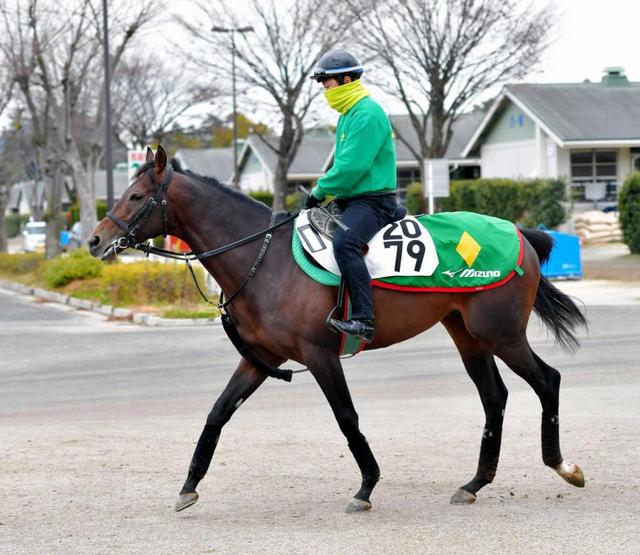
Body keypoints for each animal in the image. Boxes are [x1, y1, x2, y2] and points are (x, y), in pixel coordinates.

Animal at [87, 147, 588, 512]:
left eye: (135, 197)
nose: (94, 240)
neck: (267, 259)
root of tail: (519, 233)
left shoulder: (320, 355)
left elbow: (347, 417)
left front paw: (366, 486)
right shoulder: (262, 359)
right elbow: (217, 413)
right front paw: (189, 484)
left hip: (502, 334)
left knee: (548, 381)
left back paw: (562, 466)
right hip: (468, 335)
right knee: (494, 398)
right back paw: (475, 483)